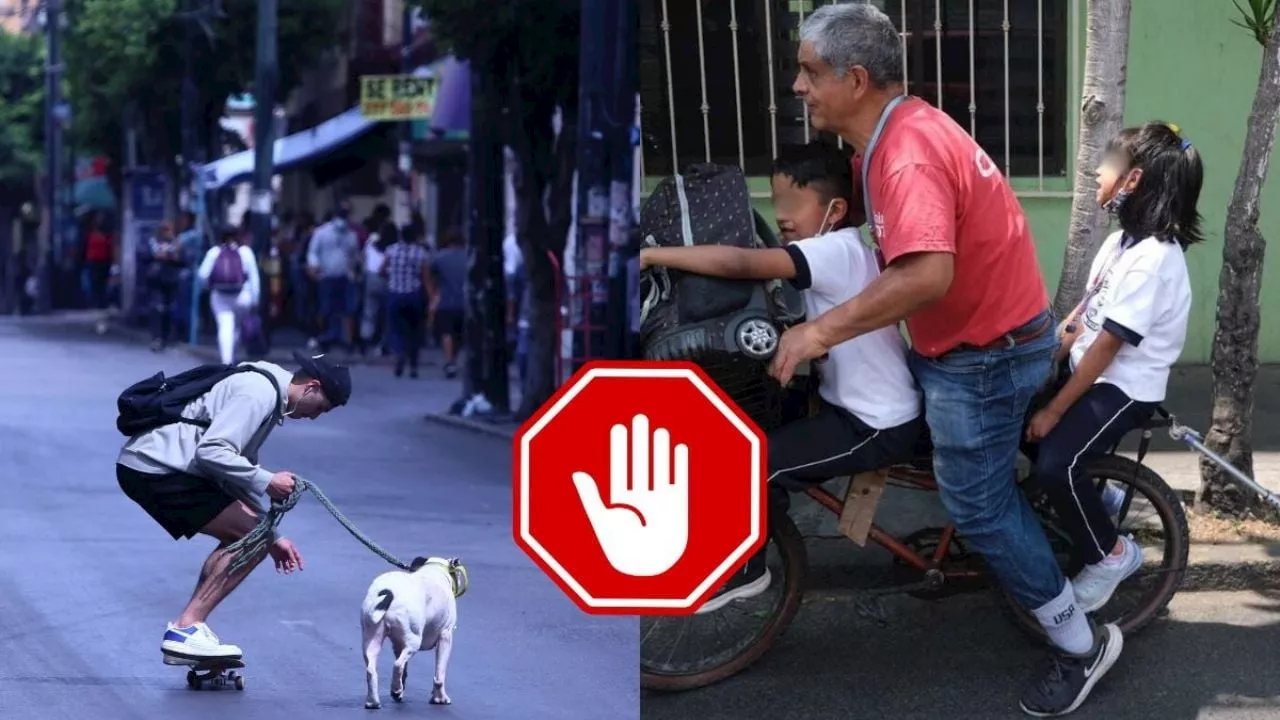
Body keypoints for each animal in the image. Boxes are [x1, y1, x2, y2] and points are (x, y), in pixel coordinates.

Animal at [360, 556, 471, 707]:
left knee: (372, 670)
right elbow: (439, 674)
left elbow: (405, 671)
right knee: (397, 665)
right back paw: (396, 689)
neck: (434, 569)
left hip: (372, 639)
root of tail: (388, 593)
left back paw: (374, 701)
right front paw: (440, 698)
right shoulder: (445, 637)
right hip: (414, 642)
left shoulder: (398, 644)